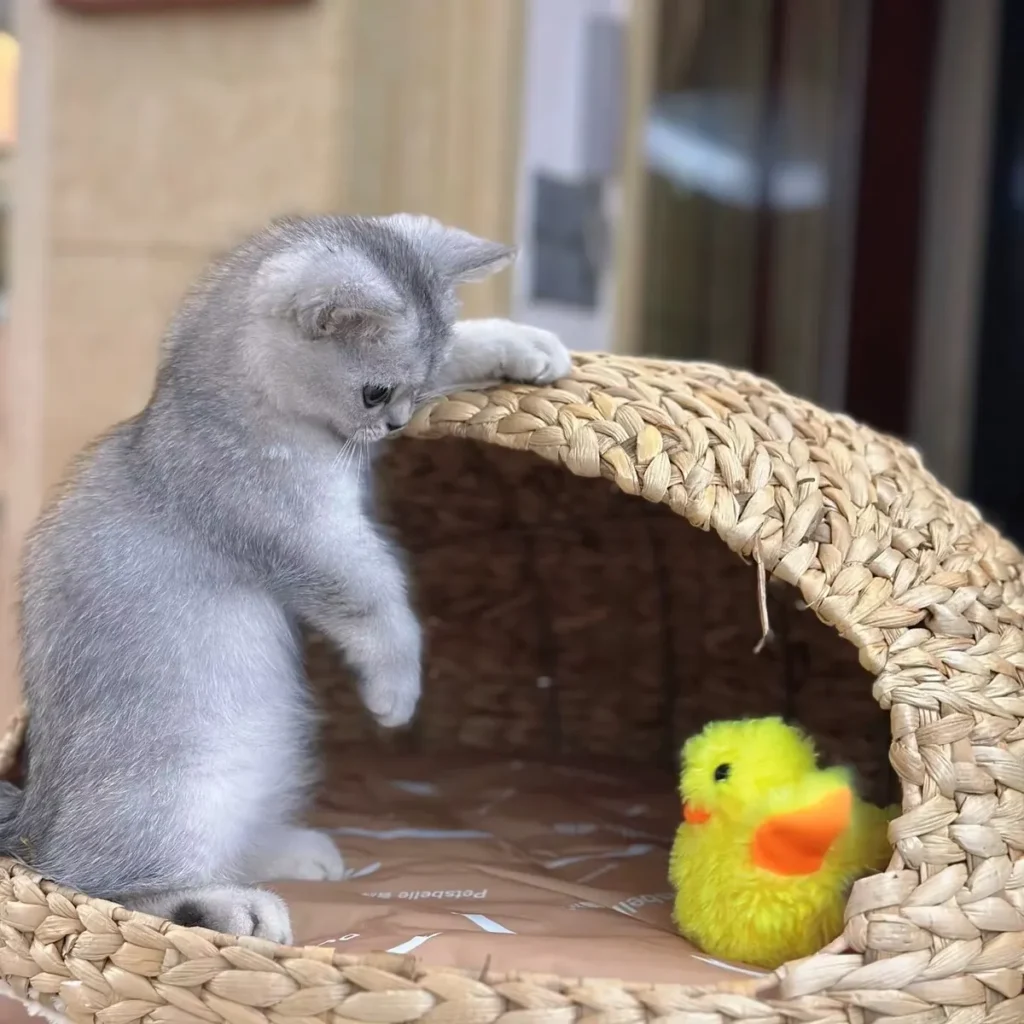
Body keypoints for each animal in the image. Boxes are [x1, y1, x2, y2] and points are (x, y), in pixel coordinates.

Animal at [4, 216, 573, 942]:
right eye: (375, 392)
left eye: (414, 392)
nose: (396, 424)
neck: (205, 411)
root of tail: (32, 822)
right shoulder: (314, 539)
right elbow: (381, 605)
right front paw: (397, 692)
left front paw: (520, 342)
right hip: (181, 784)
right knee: (97, 881)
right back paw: (232, 906)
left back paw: (294, 853)